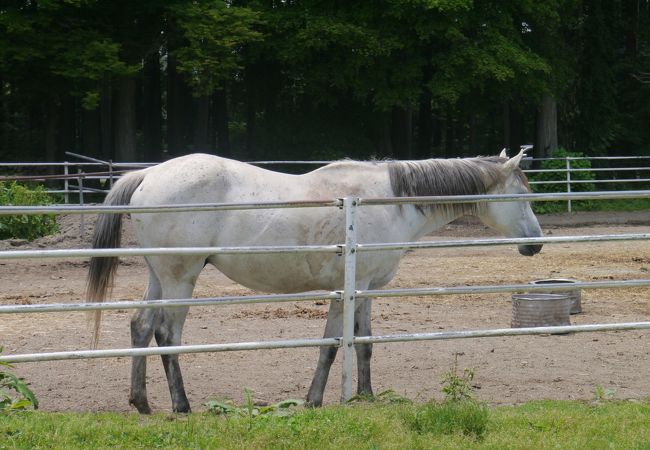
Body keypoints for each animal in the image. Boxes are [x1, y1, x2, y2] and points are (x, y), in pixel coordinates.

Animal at [86, 149, 540, 414]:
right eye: (521, 196)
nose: (535, 243)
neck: (389, 201)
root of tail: (148, 175)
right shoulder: (345, 290)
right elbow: (331, 345)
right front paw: (315, 400)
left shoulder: (366, 289)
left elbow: (364, 344)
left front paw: (366, 397)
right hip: (181, 278)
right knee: (166, 333)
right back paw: (182, 406)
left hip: (159, 276)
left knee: (141, 326)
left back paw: (142, 403)